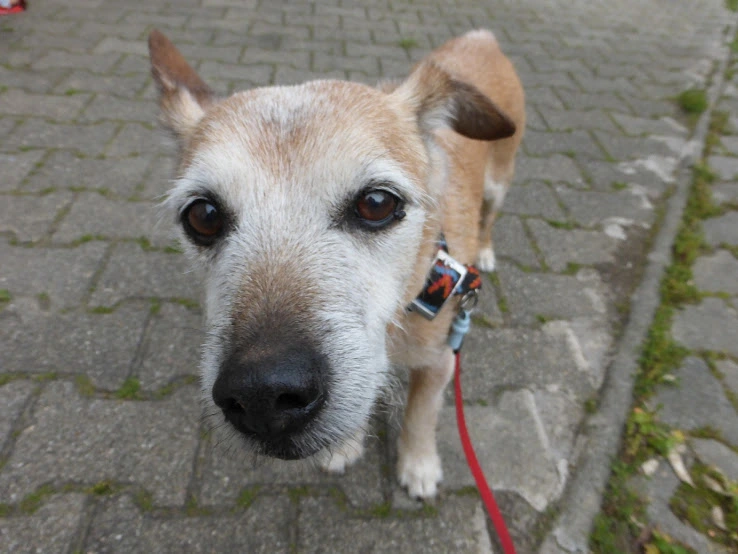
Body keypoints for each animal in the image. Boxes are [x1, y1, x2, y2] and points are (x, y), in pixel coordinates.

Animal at [147, 28, 524, 499]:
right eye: (203, 215)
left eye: (377, 203)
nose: (262, 395)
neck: (395, 323)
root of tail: (481, 39)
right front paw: (345, 446)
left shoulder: (440, 361)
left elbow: (421, 414)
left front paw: (419, 464)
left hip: (499, 181)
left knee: (489, 215)